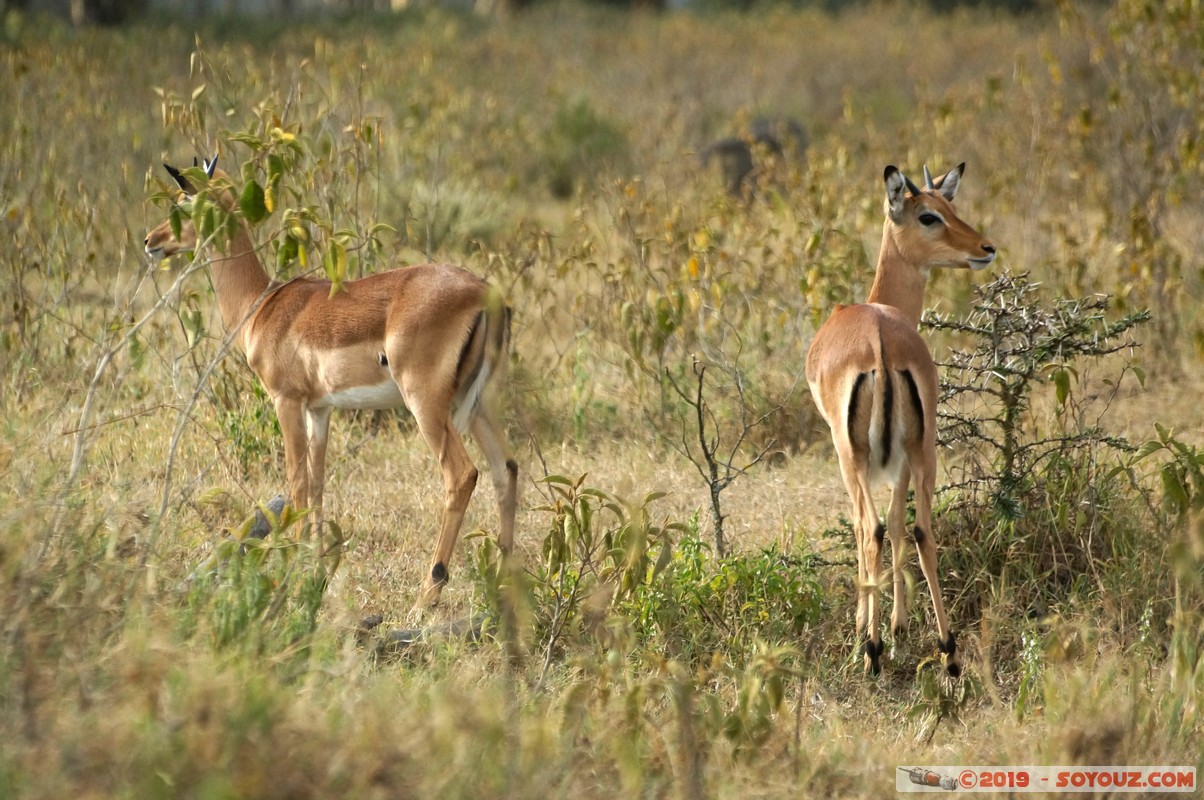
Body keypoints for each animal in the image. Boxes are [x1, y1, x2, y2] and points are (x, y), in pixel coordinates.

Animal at [145, 157, 518, 615]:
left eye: (184, 201)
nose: (150, 241)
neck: (262, 306)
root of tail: (487, 295)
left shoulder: (286, 401)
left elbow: (297, 482)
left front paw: (291, 570)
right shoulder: (319, 409)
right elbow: (318, 482)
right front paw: (316, 567)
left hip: (426, 404)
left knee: (463, 475)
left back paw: (426, 595)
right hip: (479, 403)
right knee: (506, 469)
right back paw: (504, 585)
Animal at [805, 163, 995, 677]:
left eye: (949, 206)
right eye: (931, 214)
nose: (985, 248)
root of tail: (878, 342)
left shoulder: (851, 456)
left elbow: (864, 527)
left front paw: (869, 629)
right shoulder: (903, 460)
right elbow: (897, 522)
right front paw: (899, 626)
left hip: (854, 455)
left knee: (868, 527)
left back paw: (870, 653)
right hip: (923, 448)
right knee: (921, 529)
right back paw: (949, 652)